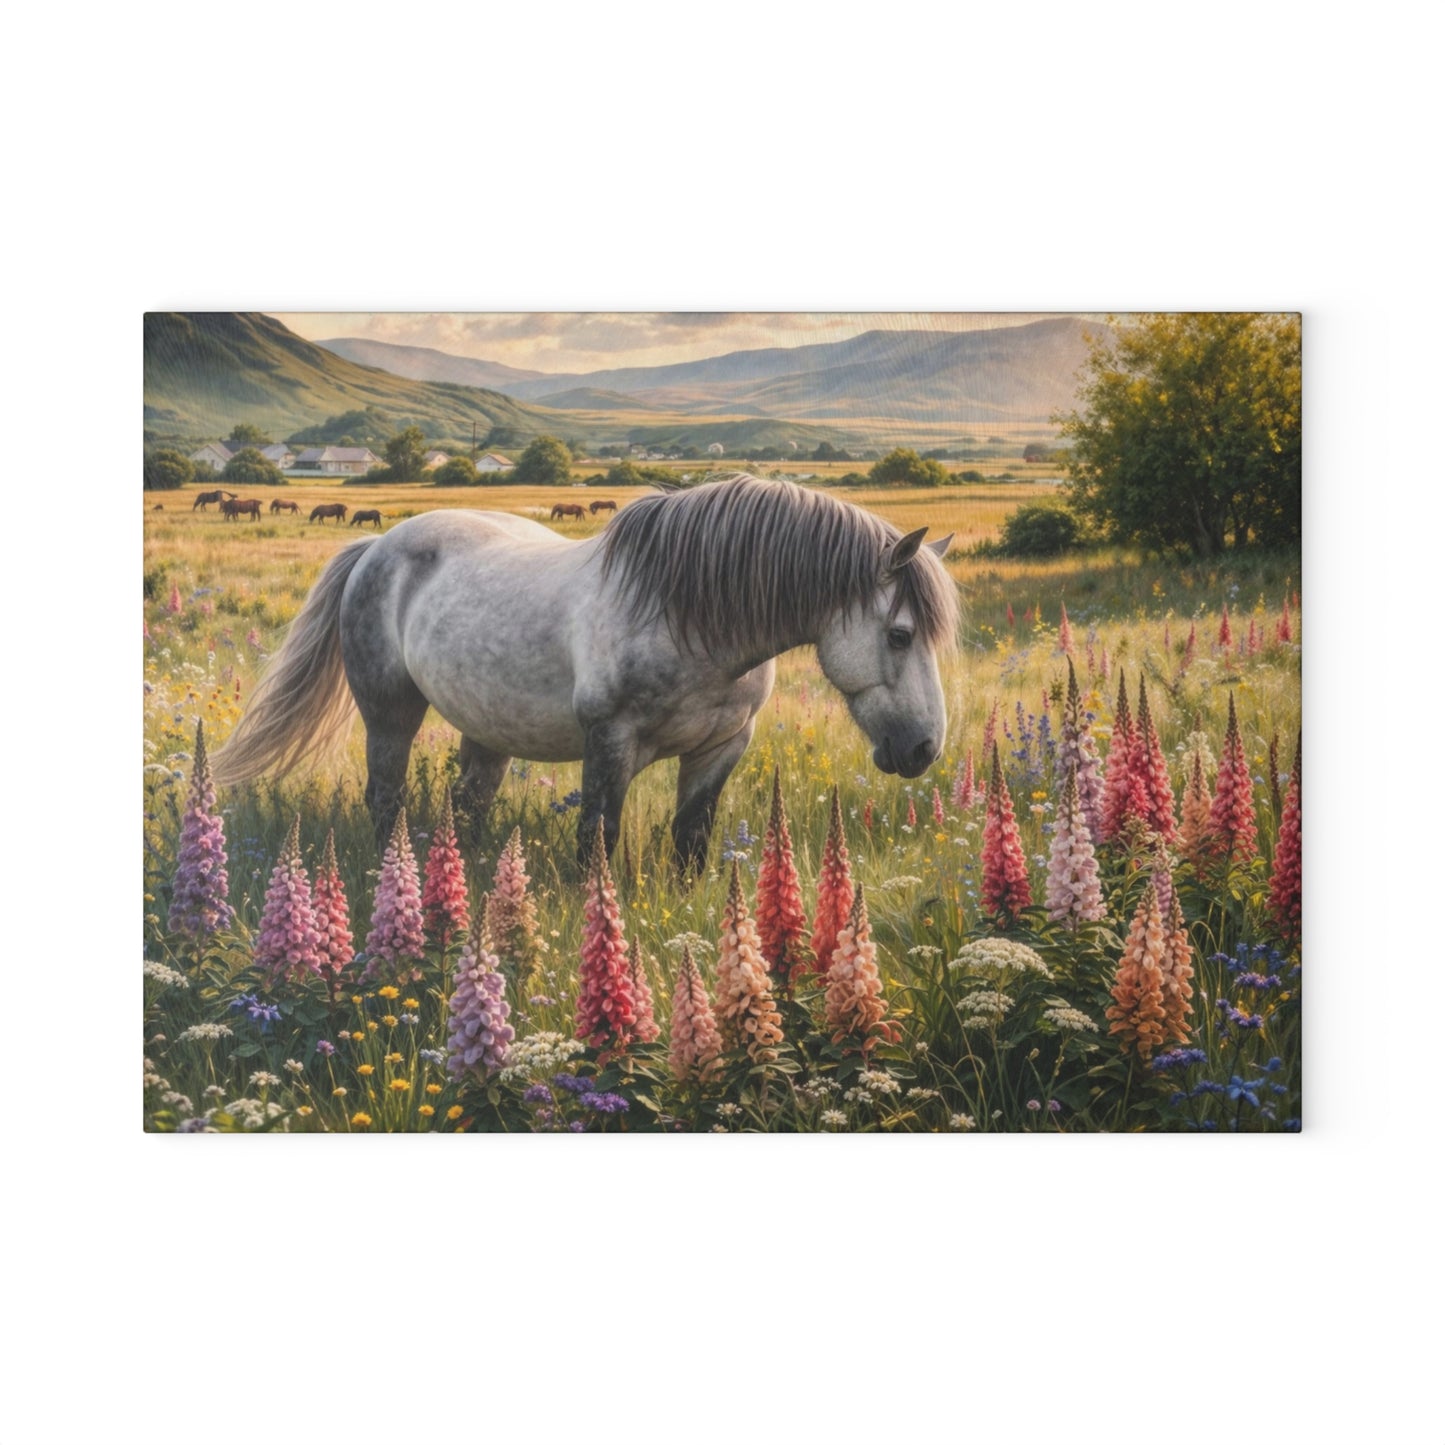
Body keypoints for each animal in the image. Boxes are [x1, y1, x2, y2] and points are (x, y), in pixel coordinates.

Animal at [214, 475, 957, 872]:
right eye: (899, 634)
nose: (923, 749)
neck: (690, 617)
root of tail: (378, 543)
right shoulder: (610, 743)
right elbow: (596, 838)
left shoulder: (722, 747)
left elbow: (691, 840)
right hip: (390, 714)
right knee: (386, 797)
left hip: (488, 728)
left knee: (468, 803)